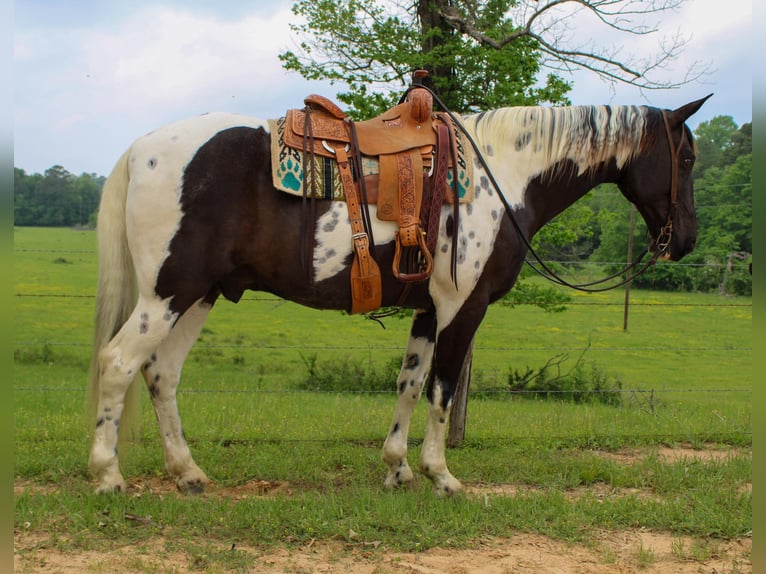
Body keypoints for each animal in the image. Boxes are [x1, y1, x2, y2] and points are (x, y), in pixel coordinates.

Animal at [87, 95, 712, 500]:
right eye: (685, 159)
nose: (684, 240)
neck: (503, 175)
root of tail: (140, 149)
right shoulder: (463, 307)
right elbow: (442, 389)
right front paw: (441, 475)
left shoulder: (429, 309)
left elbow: (410, 384)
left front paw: (397, 469)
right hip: (169, 293)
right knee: (118, 363)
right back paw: (108, 476)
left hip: (200, 295)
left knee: (162, 373)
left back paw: (188, 473)